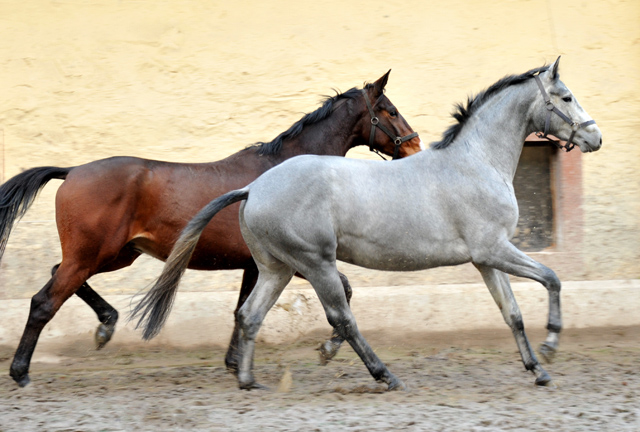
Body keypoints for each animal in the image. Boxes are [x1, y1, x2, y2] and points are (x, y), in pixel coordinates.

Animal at [1, 71, 424, 388]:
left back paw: (106, 325)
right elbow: (345, 293)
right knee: (44, 302)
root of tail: (72, 171)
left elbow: (242, 310)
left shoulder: (256, 265)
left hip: (115, 255)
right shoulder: (295, 258)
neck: (284, 170)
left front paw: (236, 365)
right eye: (389, 111)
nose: (415, 148)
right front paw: (327, 350)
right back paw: (22, 373)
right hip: (94, 254)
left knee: (59, 277)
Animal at [134, 57, 600, 392]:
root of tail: (253, 188)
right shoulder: (496, 249)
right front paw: (551, 348)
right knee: (342, 318)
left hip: (276, 268)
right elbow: (552, 279)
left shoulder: (486, 259)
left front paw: (537, 369)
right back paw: (383, 375)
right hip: (315, 264)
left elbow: (513, 314)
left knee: (250, 315)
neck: (476, 164)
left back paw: (249, 381)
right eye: (565, 97)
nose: (595, 138)